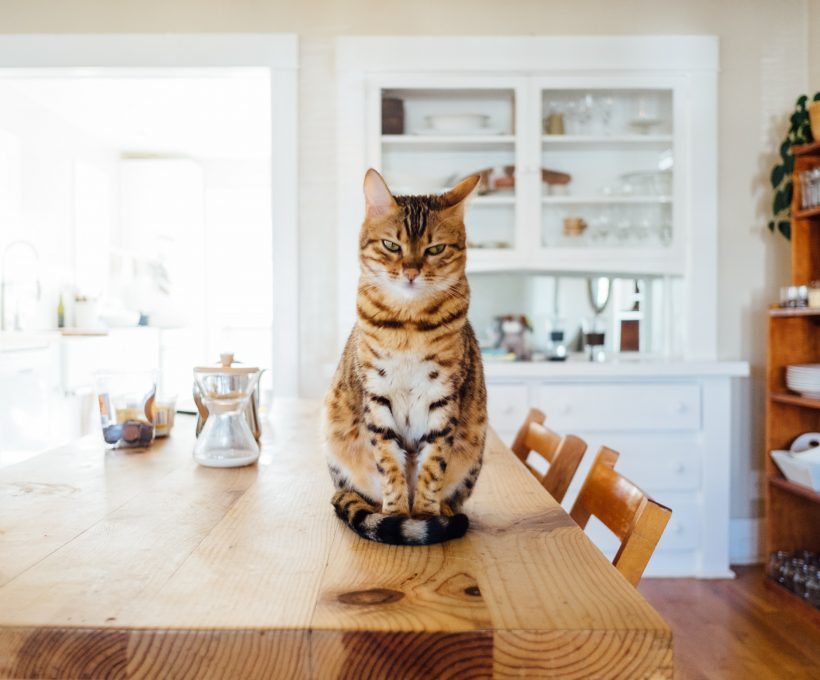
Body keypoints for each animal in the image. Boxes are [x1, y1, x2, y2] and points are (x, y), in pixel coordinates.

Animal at [322, 170, 486, 548]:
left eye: (435, 248)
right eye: (391, 246)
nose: (411, 271)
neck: (409, 325)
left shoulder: (444, 398)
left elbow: (432, 466)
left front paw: (424, 516)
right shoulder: (377, 395)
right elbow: (389, 464)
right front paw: (396, 514)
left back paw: (445, 512)